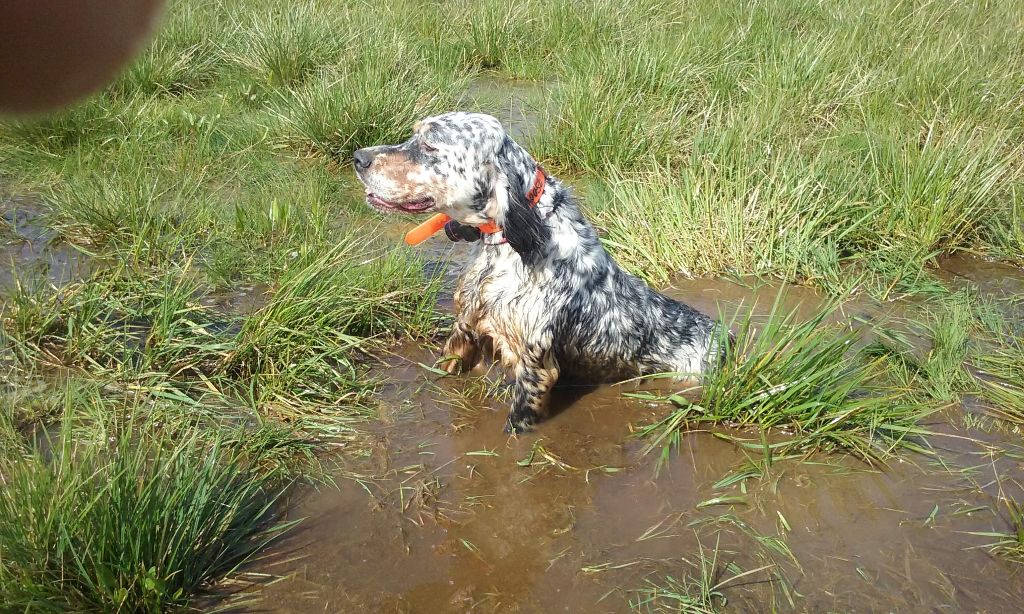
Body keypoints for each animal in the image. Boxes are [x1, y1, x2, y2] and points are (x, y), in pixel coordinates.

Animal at [356, 112, 724, 433]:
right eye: (414, 136)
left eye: (430, 145)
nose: (358, 157)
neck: (510, 243)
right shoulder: (465, 330)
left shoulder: (535, 368)